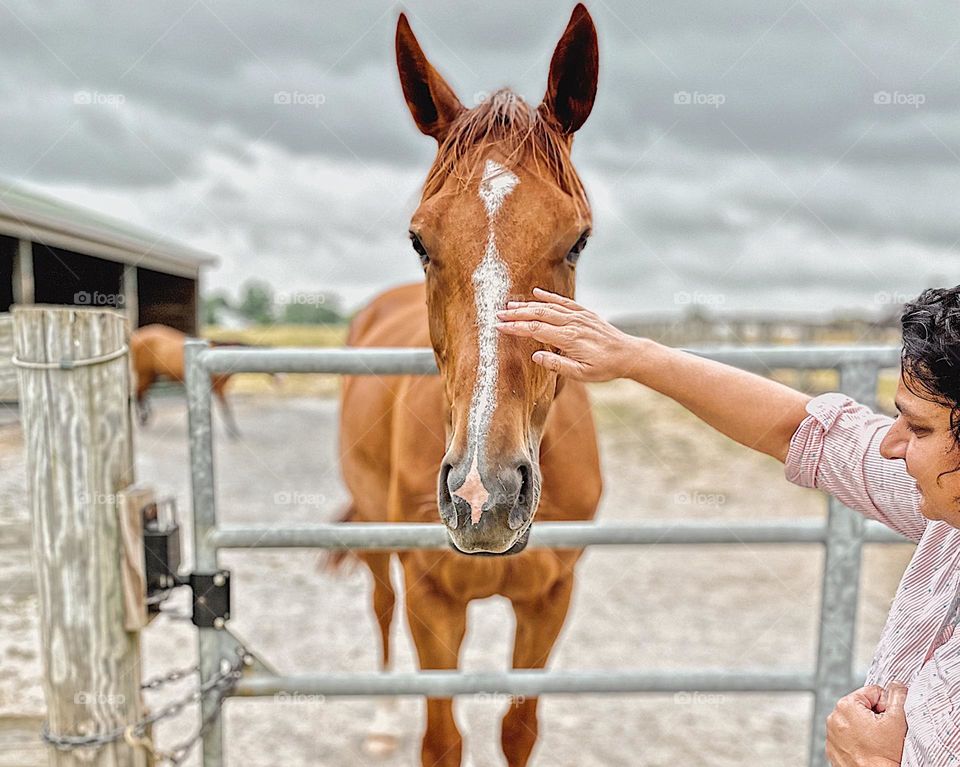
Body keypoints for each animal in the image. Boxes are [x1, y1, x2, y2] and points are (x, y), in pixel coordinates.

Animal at [338, 7, 600, 767]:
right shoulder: (434, 601)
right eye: (419, 240)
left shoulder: (550, 600)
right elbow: (442, 738)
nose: (486, 495)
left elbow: (518, 730)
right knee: (380, 607)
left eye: (578, 240)